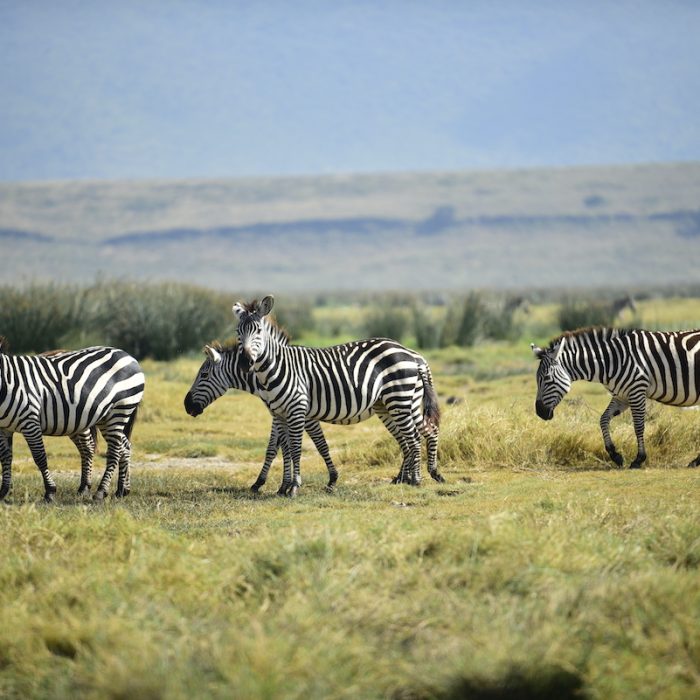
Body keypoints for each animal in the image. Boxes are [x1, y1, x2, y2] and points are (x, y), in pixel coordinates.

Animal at [0, 340, 144, 500]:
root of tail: (127, 355)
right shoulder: (4, 428)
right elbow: (6, 457)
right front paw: (4, 491)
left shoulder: (30, 421)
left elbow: (40, 457)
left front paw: (50, 491)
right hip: (104, 418)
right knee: (124, 447)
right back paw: (122, 490)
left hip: (119, 410)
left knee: (113, 451)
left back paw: (101, 492)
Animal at [185, 340, 340, 492]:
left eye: (204, 375)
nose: (186, 405)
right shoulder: (280, 413)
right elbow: (274, 448)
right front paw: (266, 483)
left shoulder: (303, 415)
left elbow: (319, 444)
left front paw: (332, 479)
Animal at [235, 296, 442, 498]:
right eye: (238, 331)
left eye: (258, 331)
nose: (246, 362)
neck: (278, 367)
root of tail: (411, 354)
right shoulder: (278, 413)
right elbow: (281, 448)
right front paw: (282, 487)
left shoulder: (298, 409)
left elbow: (295, 448)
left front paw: (293, 487)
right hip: (395, 404)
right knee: (420, 434)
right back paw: (415, 476)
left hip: (400, 400)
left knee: (415, 438)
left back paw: (416, 480)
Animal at [532, 328, 700, 470]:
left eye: (546, 378)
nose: (539, 412)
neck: (613, 360)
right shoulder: (622, 396)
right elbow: (603, 419)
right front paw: (615, 455)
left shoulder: (637, 390)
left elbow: (638, 426)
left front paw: (638, 459)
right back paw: (696, 461)